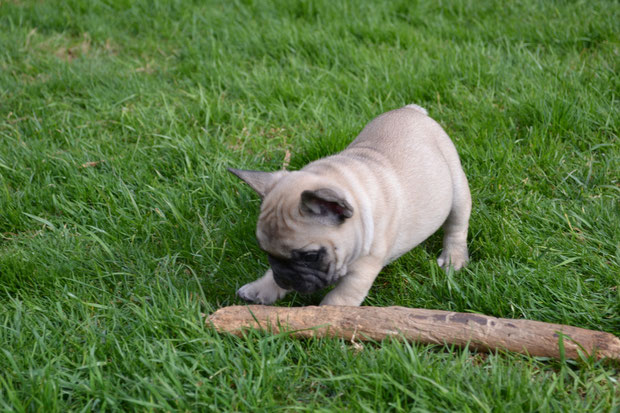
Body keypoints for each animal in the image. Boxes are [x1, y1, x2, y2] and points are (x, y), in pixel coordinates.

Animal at [230, 104, 472, 304]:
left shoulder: (362, 270)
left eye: (310, 257)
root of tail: (412, 110)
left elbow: (339, 297)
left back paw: (453, 258)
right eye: (267, 254)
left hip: (457, 190)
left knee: (456, 227)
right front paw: (263, 287)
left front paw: (325, 321)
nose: (286, 277)